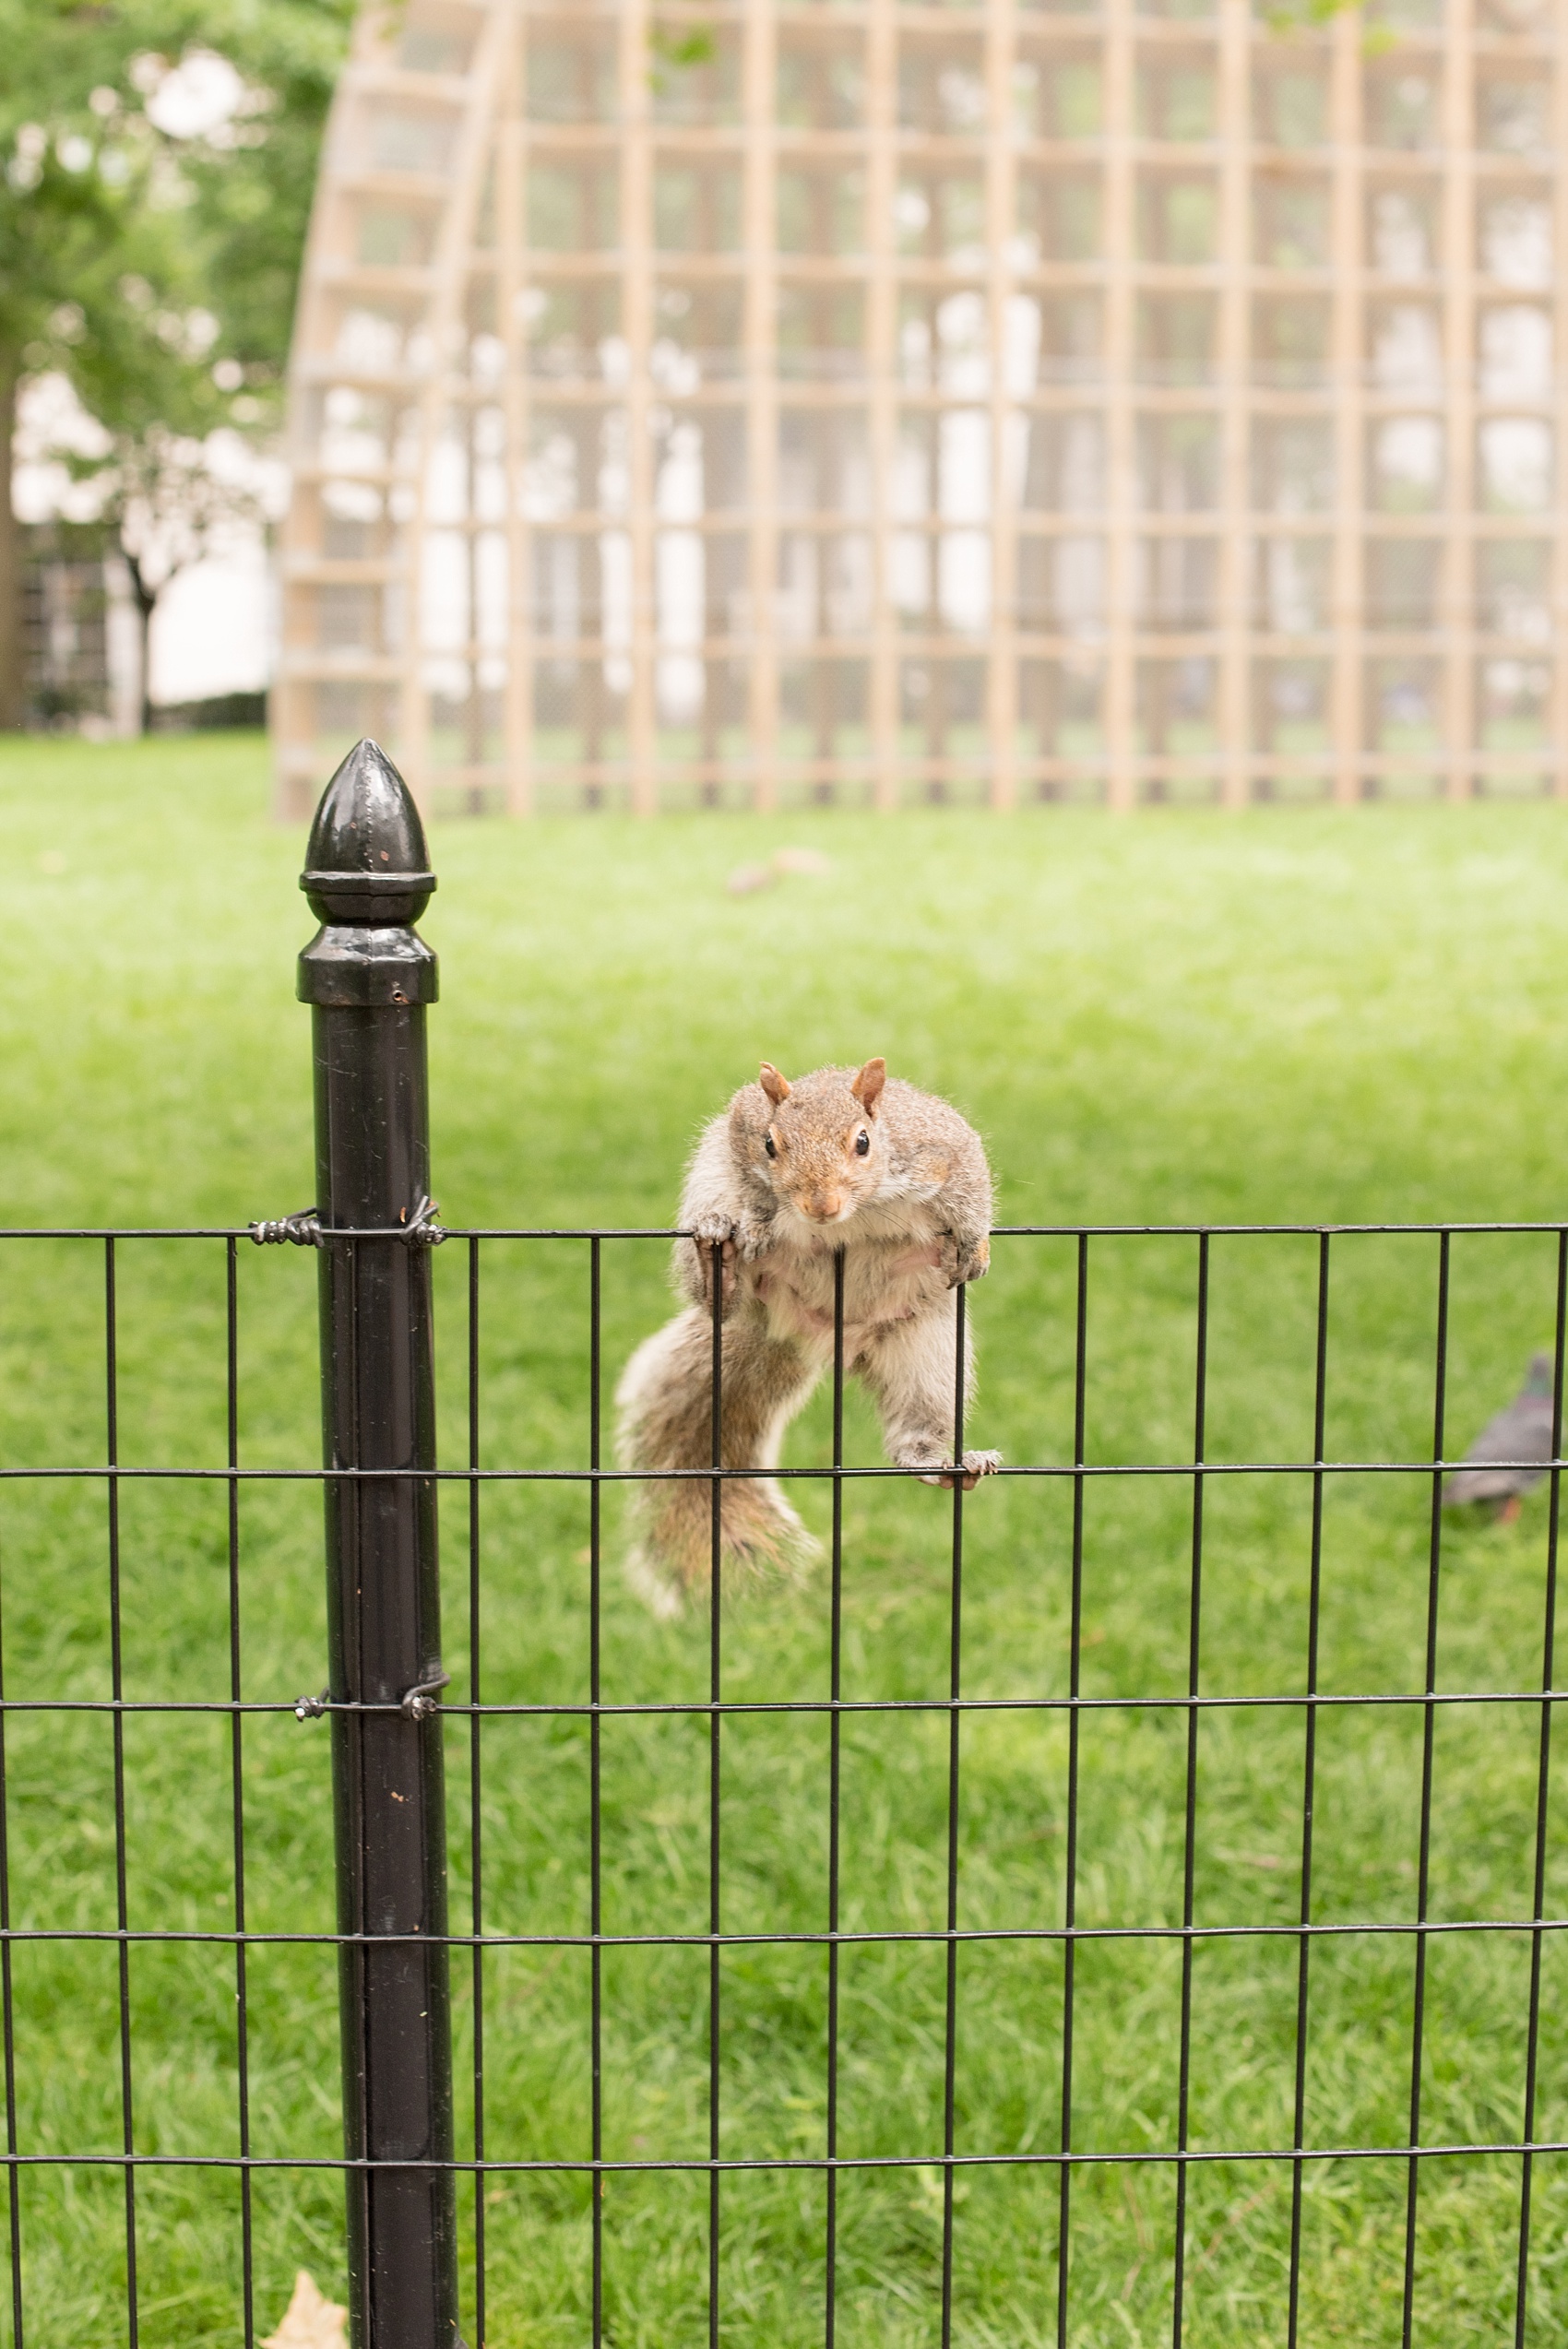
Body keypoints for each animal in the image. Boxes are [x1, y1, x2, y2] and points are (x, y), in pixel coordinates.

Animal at [615, 1066, 1001, 1616]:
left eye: (863, 1142)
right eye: (771, 1145)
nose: (821, 1206)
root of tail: (812, 1330)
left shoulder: (937, 1144)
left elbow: (971, 1182)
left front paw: (974, 1244)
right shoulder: (740, 1129)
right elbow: (750, 1184)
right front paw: (754, 1224)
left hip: (927, 1346)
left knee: (919, 1422)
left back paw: (942, 1465)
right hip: (709, 1191)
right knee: (714, 1296)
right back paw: (718, 1262)